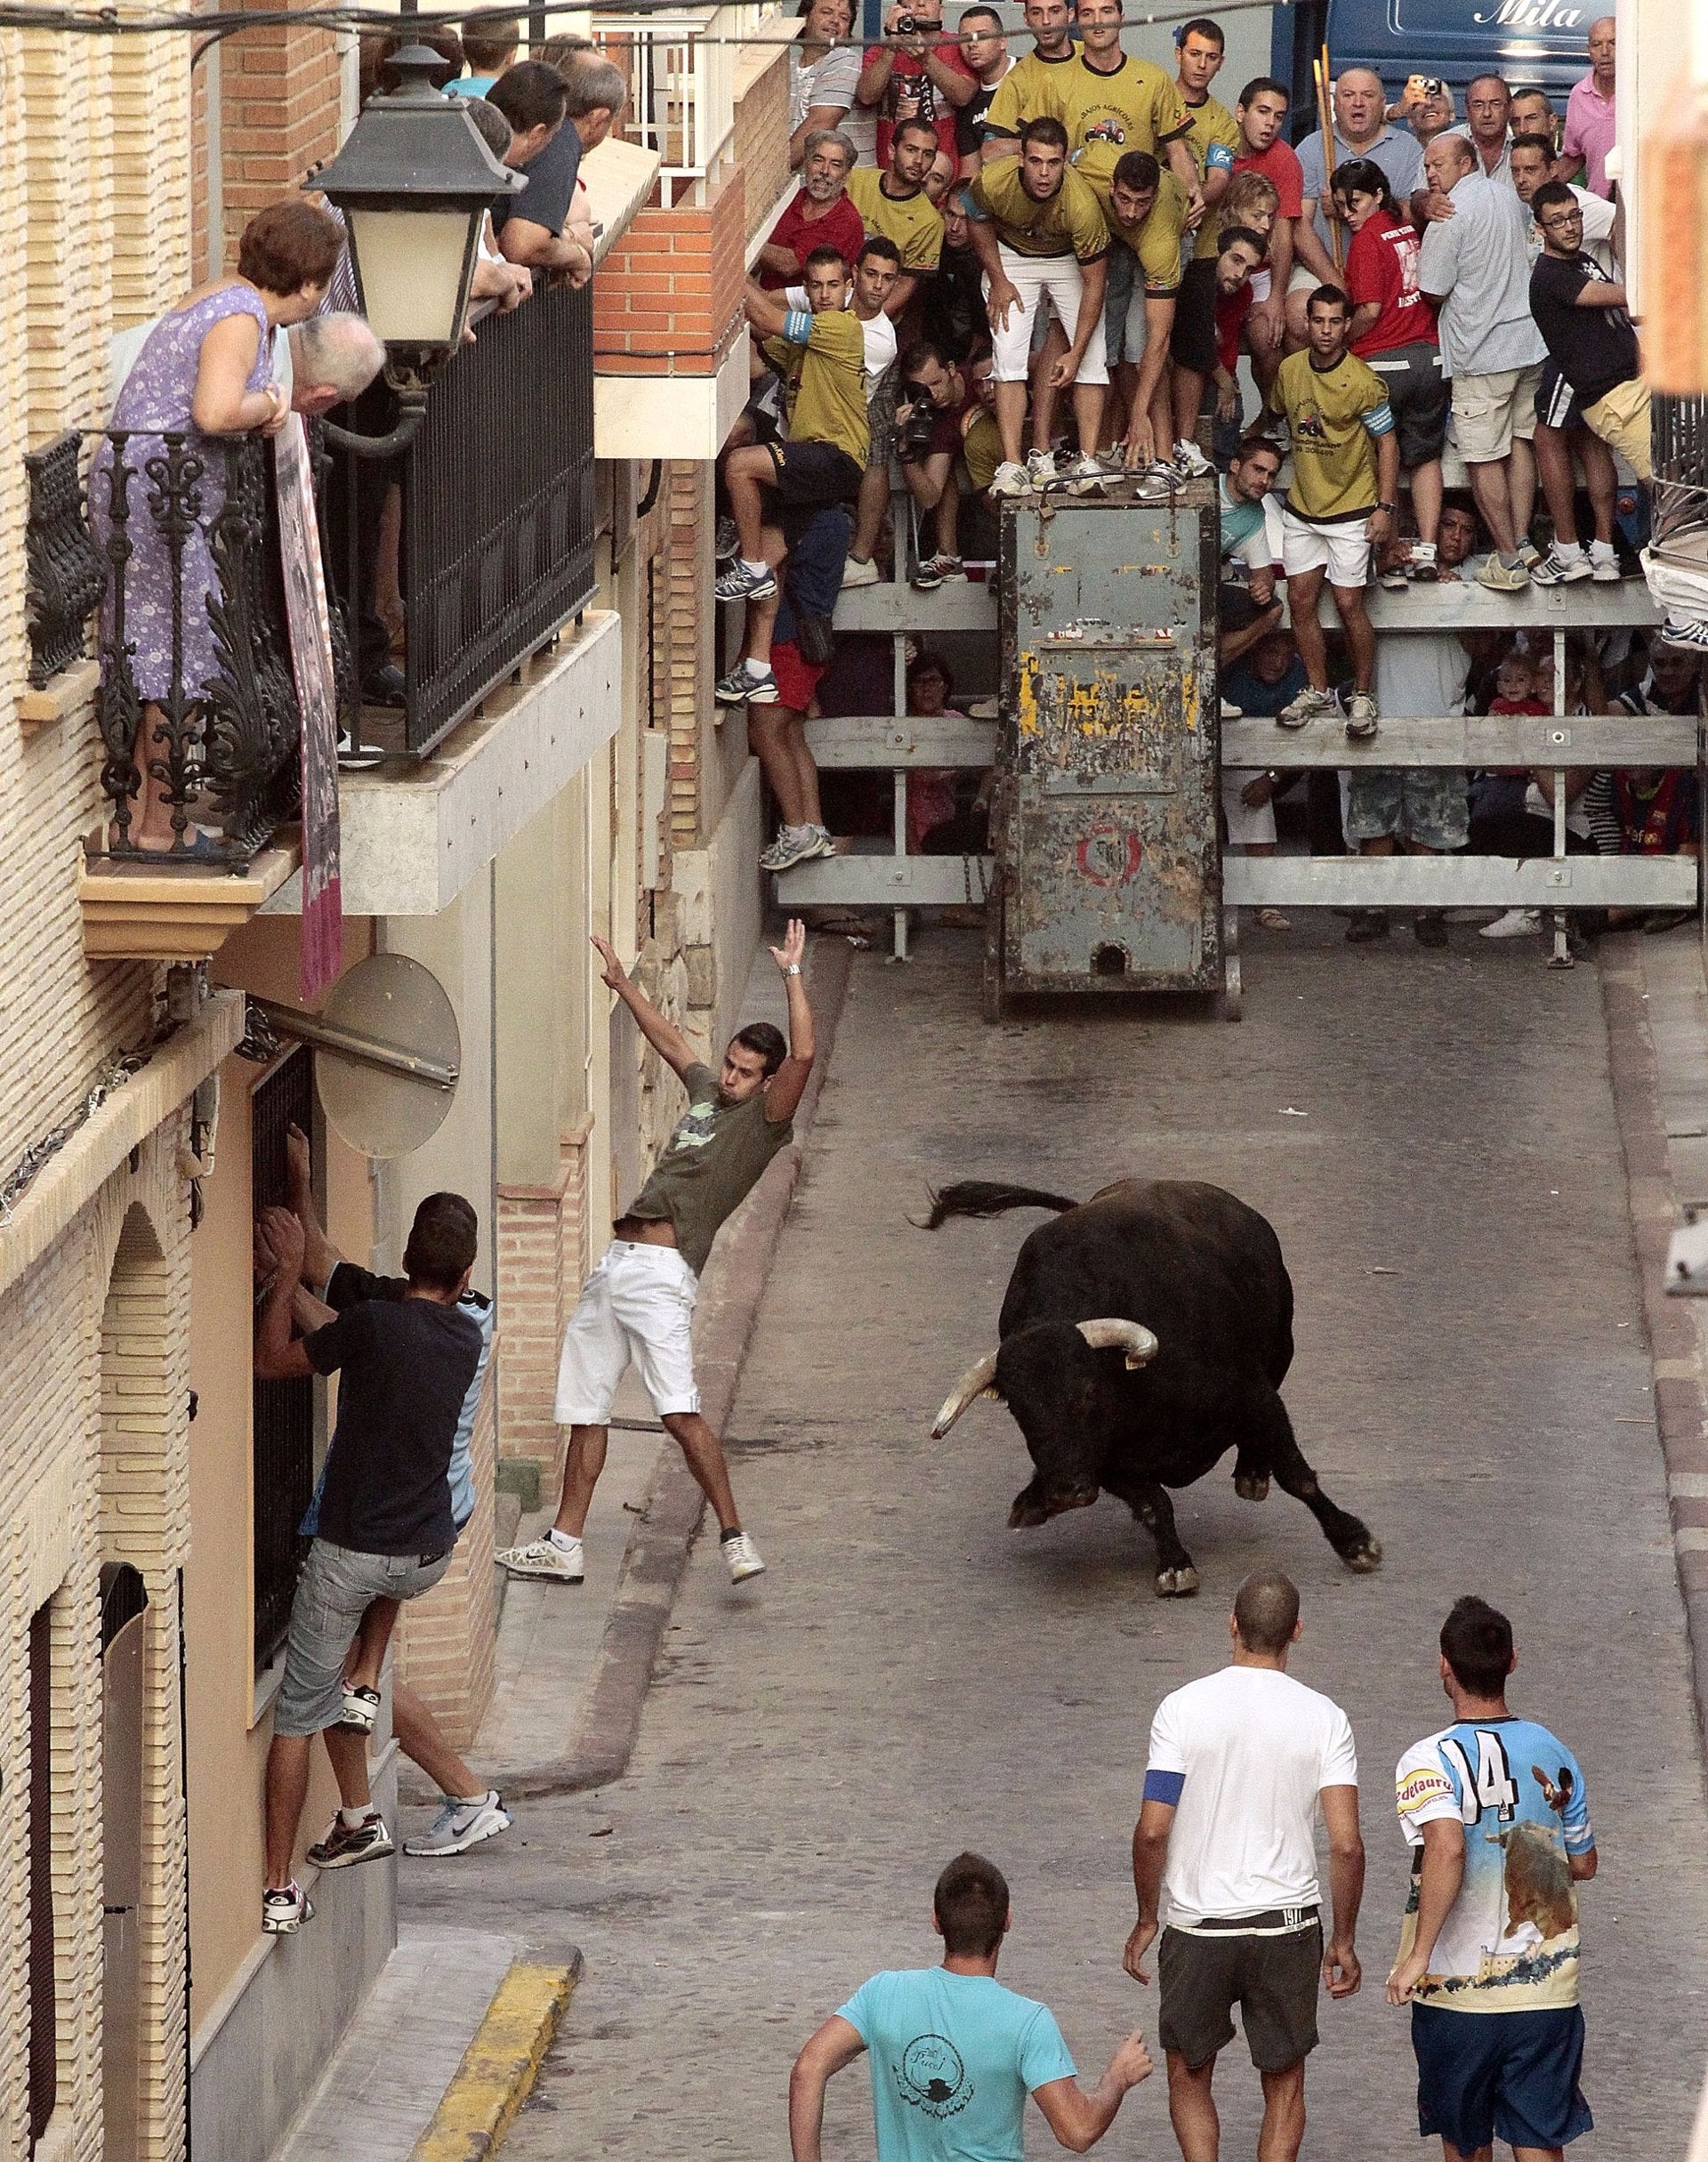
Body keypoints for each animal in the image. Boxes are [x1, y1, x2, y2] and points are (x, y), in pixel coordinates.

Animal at [930, 1175, 1383, 1600]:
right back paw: (1033, 1500)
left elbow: (1297, 1475)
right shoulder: (1109, 1462)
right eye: (1017, 1410)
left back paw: (1253, 1473)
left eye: (1088, 1392)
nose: (1065, 1492)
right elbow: (1153, 1504)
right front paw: (1175, 1565)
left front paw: (1355, 1542)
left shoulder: (1254, 1396)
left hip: (1281, 1350)